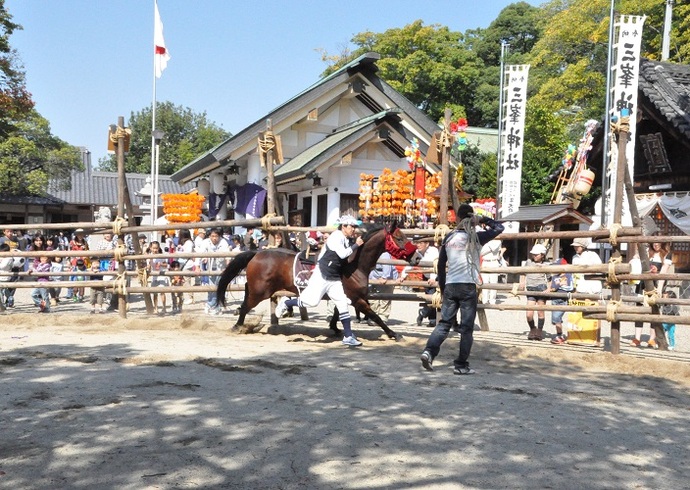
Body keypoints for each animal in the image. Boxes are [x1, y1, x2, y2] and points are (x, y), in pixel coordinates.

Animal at [216, 222, 420, 340]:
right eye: (400, 238)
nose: (417, 257)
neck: (352, 265)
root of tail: (257, 253)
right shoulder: (357, 299)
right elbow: (375, 316)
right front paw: (393, 334)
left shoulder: (342, 295)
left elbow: (338, 313)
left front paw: (335, 328)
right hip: (260, 292)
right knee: (245, 306)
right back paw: (238, 326)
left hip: (255, 289)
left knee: (245, 301)